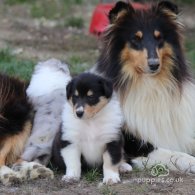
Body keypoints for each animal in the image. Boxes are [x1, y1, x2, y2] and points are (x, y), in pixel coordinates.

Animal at [94, 1, 195, 172]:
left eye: (159, 38)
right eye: (136, 39)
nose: (154, 65)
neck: (150, 85)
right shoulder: (134, 144)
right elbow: (173, 153)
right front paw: (191, 162)